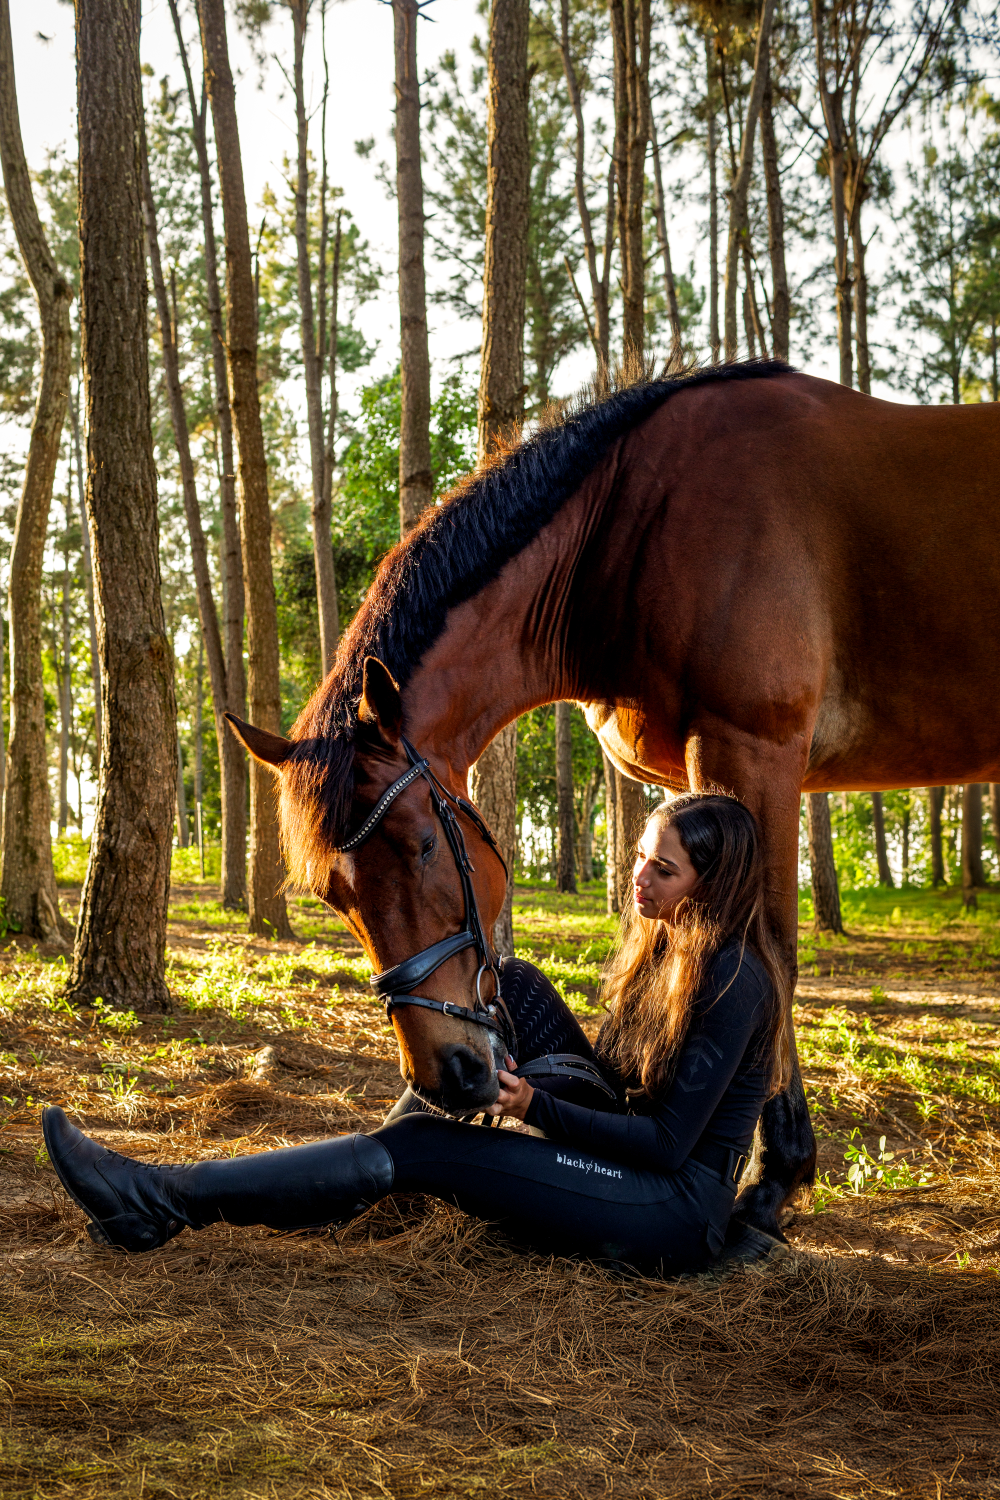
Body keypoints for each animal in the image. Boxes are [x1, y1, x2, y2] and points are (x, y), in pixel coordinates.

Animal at [227, 359, 1000, 1239]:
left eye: (423, 846)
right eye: (332, 893)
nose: (449, 1075)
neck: (633, 525)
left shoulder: (754, 750)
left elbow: (769, 950)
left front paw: (777, 1179)